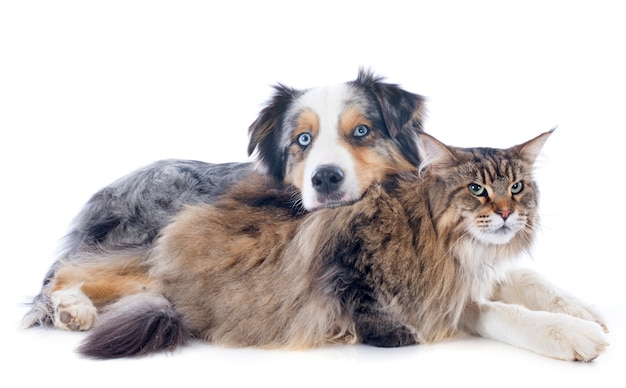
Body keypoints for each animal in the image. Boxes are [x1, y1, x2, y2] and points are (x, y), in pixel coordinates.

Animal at [22, 69, 426, 330]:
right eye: (303, 139)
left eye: (362, 131)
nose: (325, 177)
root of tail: (101, 195)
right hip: (163, 222)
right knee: (69, 268)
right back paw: (74, 309)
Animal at [75, 131, 608, 360]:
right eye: (477, 189)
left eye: (517, 187)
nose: (505, 214)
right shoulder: (443, 296)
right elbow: (507, 313)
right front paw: (574, 335)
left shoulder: (484, 269)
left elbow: (535, 281)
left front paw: (588, 312)